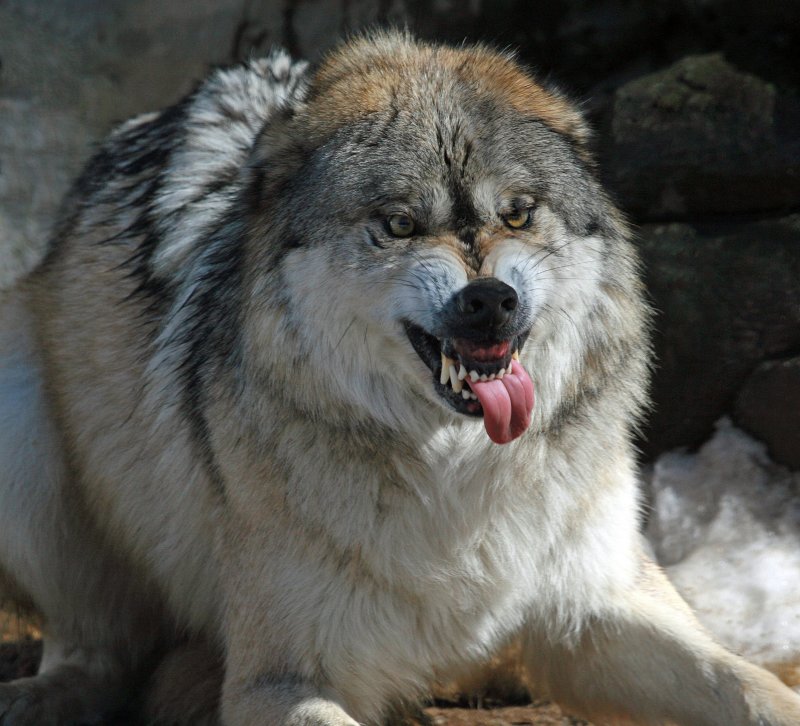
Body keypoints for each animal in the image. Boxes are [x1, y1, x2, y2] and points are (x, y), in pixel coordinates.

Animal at [1, 29, 800, 726]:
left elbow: (749, 684)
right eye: (400, 224)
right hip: (25, 429)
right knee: (96, 647)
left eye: (518, 213)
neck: (460, 479)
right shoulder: (279, 678)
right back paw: (43, 698)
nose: (490, 300)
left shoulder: (598, 605)